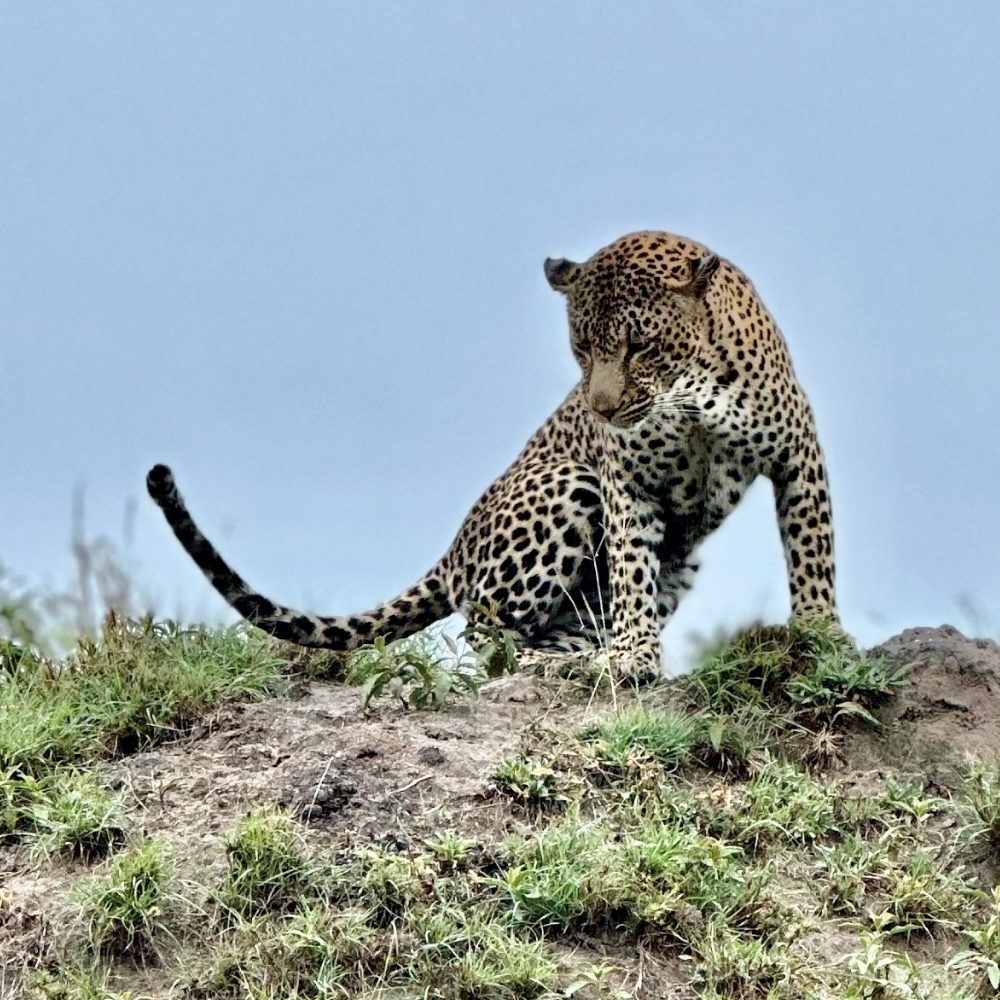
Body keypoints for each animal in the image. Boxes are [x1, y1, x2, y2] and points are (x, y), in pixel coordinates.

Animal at [147, 230, 837, 680]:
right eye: (581, 348)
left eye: (640, 346)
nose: (601, 409)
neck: (689, 395)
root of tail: (453, 551)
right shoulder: (625, 482)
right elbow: (630, 574)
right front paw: (635, 656)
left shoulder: (798, 454)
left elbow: (812, 555)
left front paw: (822, 636)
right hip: (570, 481)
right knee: (487, 634)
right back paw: (556, 663)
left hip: (673, 559)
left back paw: (577, 658)